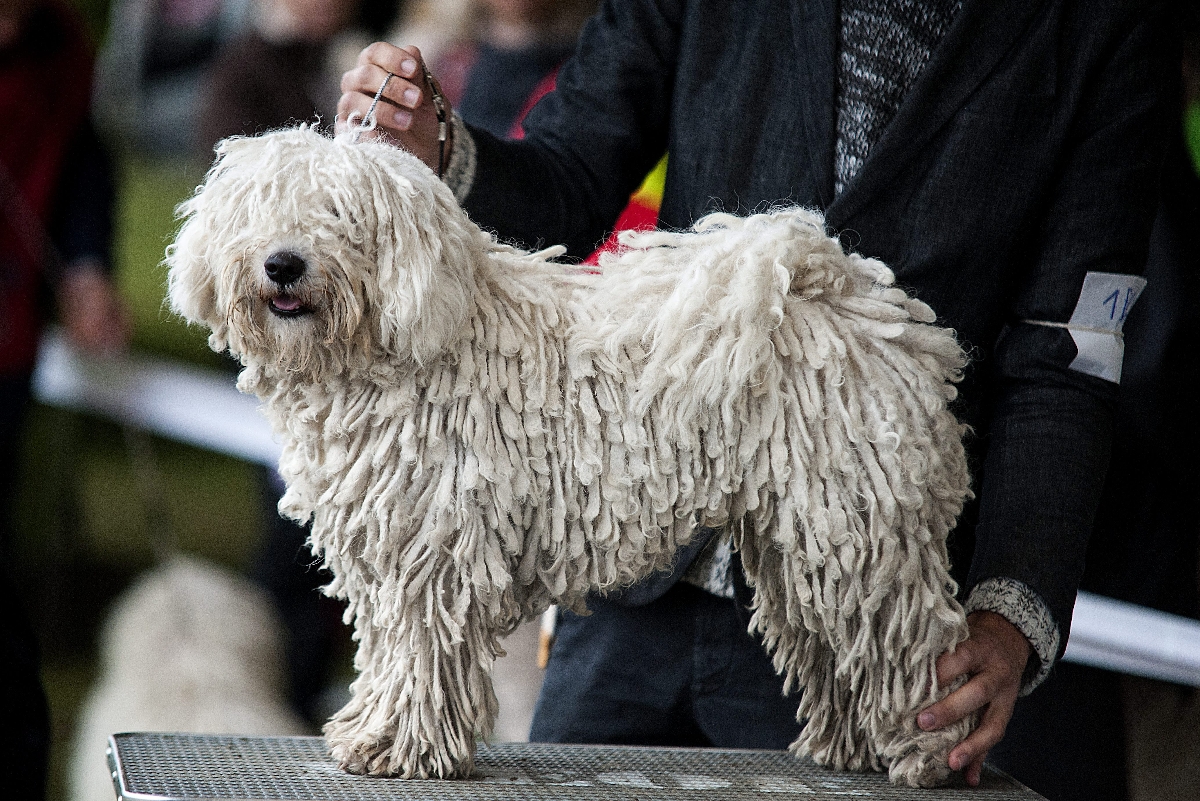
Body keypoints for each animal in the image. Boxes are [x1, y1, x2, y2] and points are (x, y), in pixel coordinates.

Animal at [166, 126, 974, 786]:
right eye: (261, 211)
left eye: (340, 217)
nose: (282, 264)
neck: (403, 346)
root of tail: (844, 295)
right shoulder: (386, 548)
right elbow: (393, 648)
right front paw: (370, 732)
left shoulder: (434, 547)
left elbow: (421, 647)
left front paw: (402, 747)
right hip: (804, 538)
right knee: (840, 641)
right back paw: (848, 745)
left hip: (859, 517)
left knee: (915, 638)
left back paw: (931, 751)